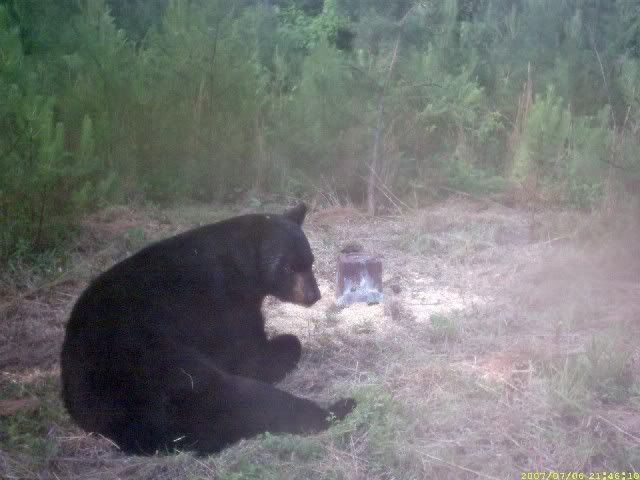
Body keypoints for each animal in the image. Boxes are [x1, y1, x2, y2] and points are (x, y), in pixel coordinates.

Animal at [60, 204, 356, 455]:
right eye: (286, 266)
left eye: (310, 261)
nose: (314, 295)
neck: (238, 266)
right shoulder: (222, 303)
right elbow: (248, 357)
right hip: (160, 368)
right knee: (244, 400)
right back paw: (339, 408)